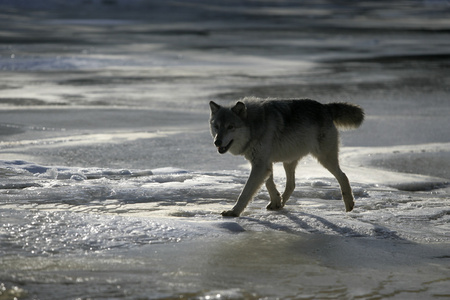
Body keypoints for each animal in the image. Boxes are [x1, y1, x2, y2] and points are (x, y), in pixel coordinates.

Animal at [209, 97, 364, 217]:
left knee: (343, 176)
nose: (217, 142)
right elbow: (269, 183)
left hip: (324, 159)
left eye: (230, 127)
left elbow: (245, 192)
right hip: (288, 162)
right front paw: (276, 201)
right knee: (292, 185)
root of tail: (325, 107)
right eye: (216, 126)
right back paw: (281, 204)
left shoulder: (260, 164)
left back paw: (349, 204)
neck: (254, 125)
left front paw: (233, 212)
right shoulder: (264, 163)